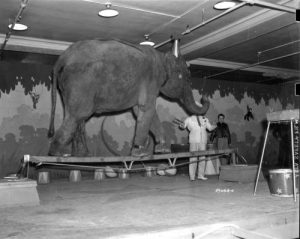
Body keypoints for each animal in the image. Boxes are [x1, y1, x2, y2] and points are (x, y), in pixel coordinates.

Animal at [48, 38, 209, 157]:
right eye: (187, 78)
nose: (204, 98)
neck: (163, 56)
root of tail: (60, 60)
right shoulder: (151, 80)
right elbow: (147, 109)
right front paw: (140, 153)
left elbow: (141, 111)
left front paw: (161, 150)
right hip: (81, 82)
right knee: (78, 114)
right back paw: (59, 154)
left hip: (67, 87)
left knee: (76, 117)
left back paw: (80, 155)